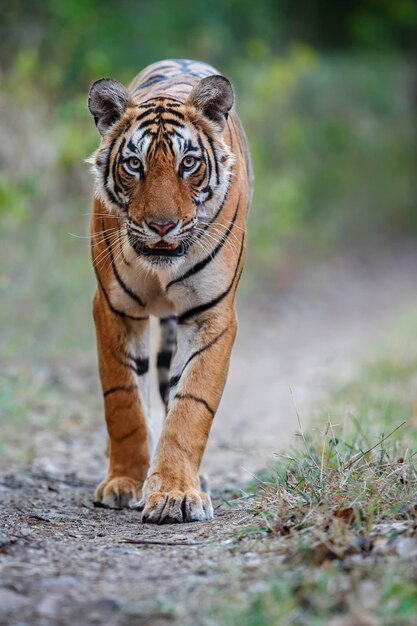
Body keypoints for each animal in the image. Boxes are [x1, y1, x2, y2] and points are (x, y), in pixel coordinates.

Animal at [86, 58, 252, 520]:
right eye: (134, 164)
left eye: (188, 163)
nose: (162, 226)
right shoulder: (115, 309)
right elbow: (123, 401)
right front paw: (124, 482)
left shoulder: (212, 315)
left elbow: (190, 406)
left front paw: (175, 493)